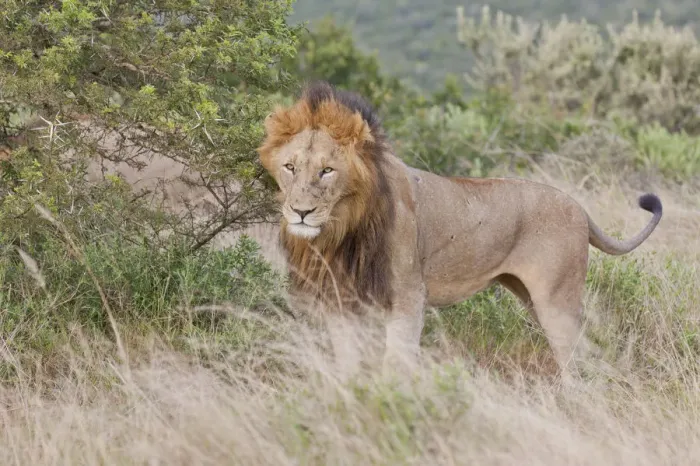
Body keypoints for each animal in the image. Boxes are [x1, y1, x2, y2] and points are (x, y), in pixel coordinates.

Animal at [257, 81, 663, 376]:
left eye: (327, 171)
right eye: (290, 167)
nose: (301, 212)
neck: (342, 228)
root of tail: (579, 207)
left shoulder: (408, 297)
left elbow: (396, 365)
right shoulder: (341, 300)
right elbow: (348, 363)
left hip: (556, 300)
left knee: (575, 359)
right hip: (531, 297)